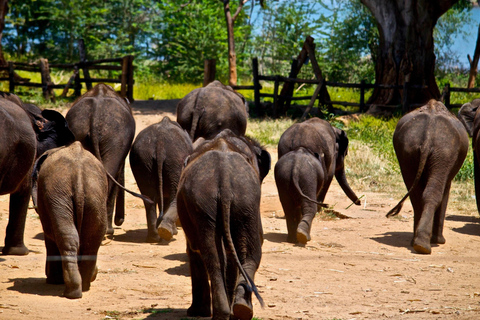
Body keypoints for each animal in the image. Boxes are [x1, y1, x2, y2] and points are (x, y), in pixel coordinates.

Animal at [31, 141, 108, 298]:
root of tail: (78, 174)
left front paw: (53, 281)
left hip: (59, 195)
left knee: (67, 237)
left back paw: (72, 291)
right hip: (94, 196)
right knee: (91, 240)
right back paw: (83, 286)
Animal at [176, 129, 270, 320]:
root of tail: (224, 177)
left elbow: (194, 249)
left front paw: (196, 313)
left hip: (207, 202)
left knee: (214, 255)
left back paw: (226, 312)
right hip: (243, 198)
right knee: (246, 253)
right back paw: (240, 310)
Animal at [386, 100, 468, 255]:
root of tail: (428, 136)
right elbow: (446, 190)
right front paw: (439, 241)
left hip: (408, 151)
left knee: (416, 195)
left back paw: (417, 242)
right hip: (444, 152)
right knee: (433, 193)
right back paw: (424, 245)